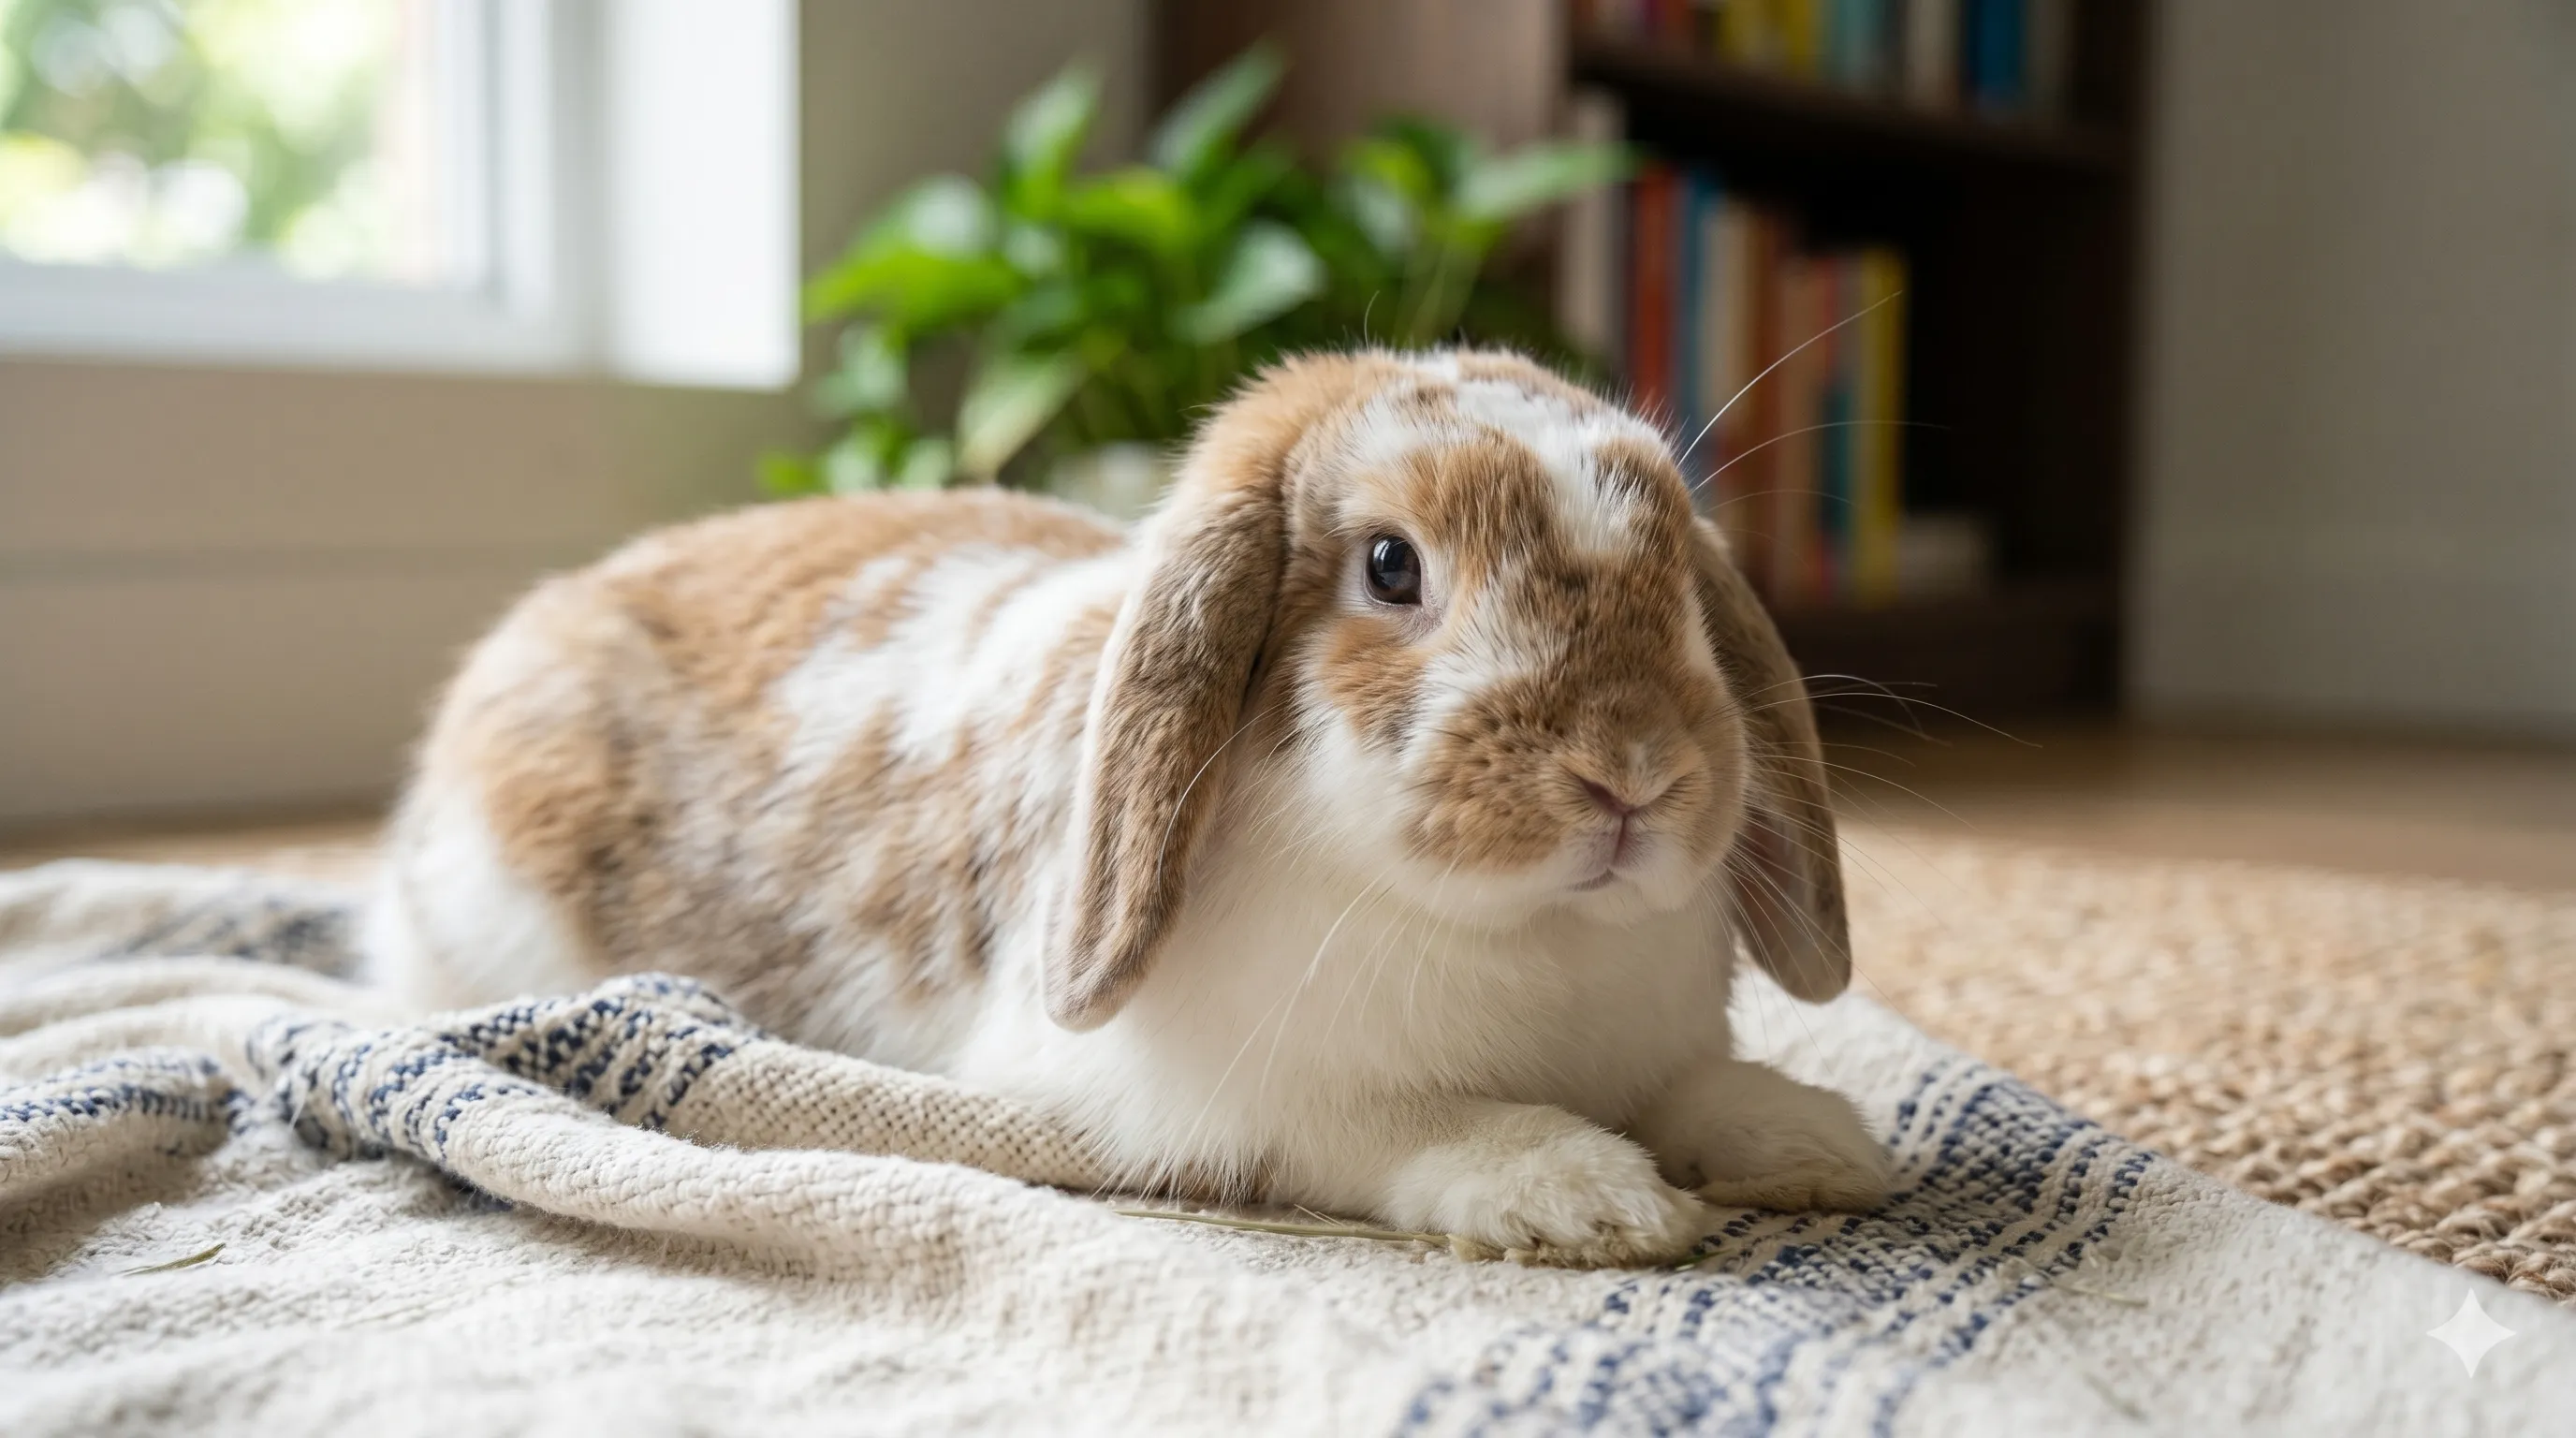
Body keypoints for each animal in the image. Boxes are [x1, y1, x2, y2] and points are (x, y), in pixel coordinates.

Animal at [364, 348, 1890, 1266]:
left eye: (1678, 575)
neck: (1535, 940)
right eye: (1391, 566)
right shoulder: (1249, 1101)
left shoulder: (1654, 1047)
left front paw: (1819, 1143)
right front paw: (1589, 1199)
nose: (1633, 771)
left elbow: (1698, 1086)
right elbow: (1410, 1126)